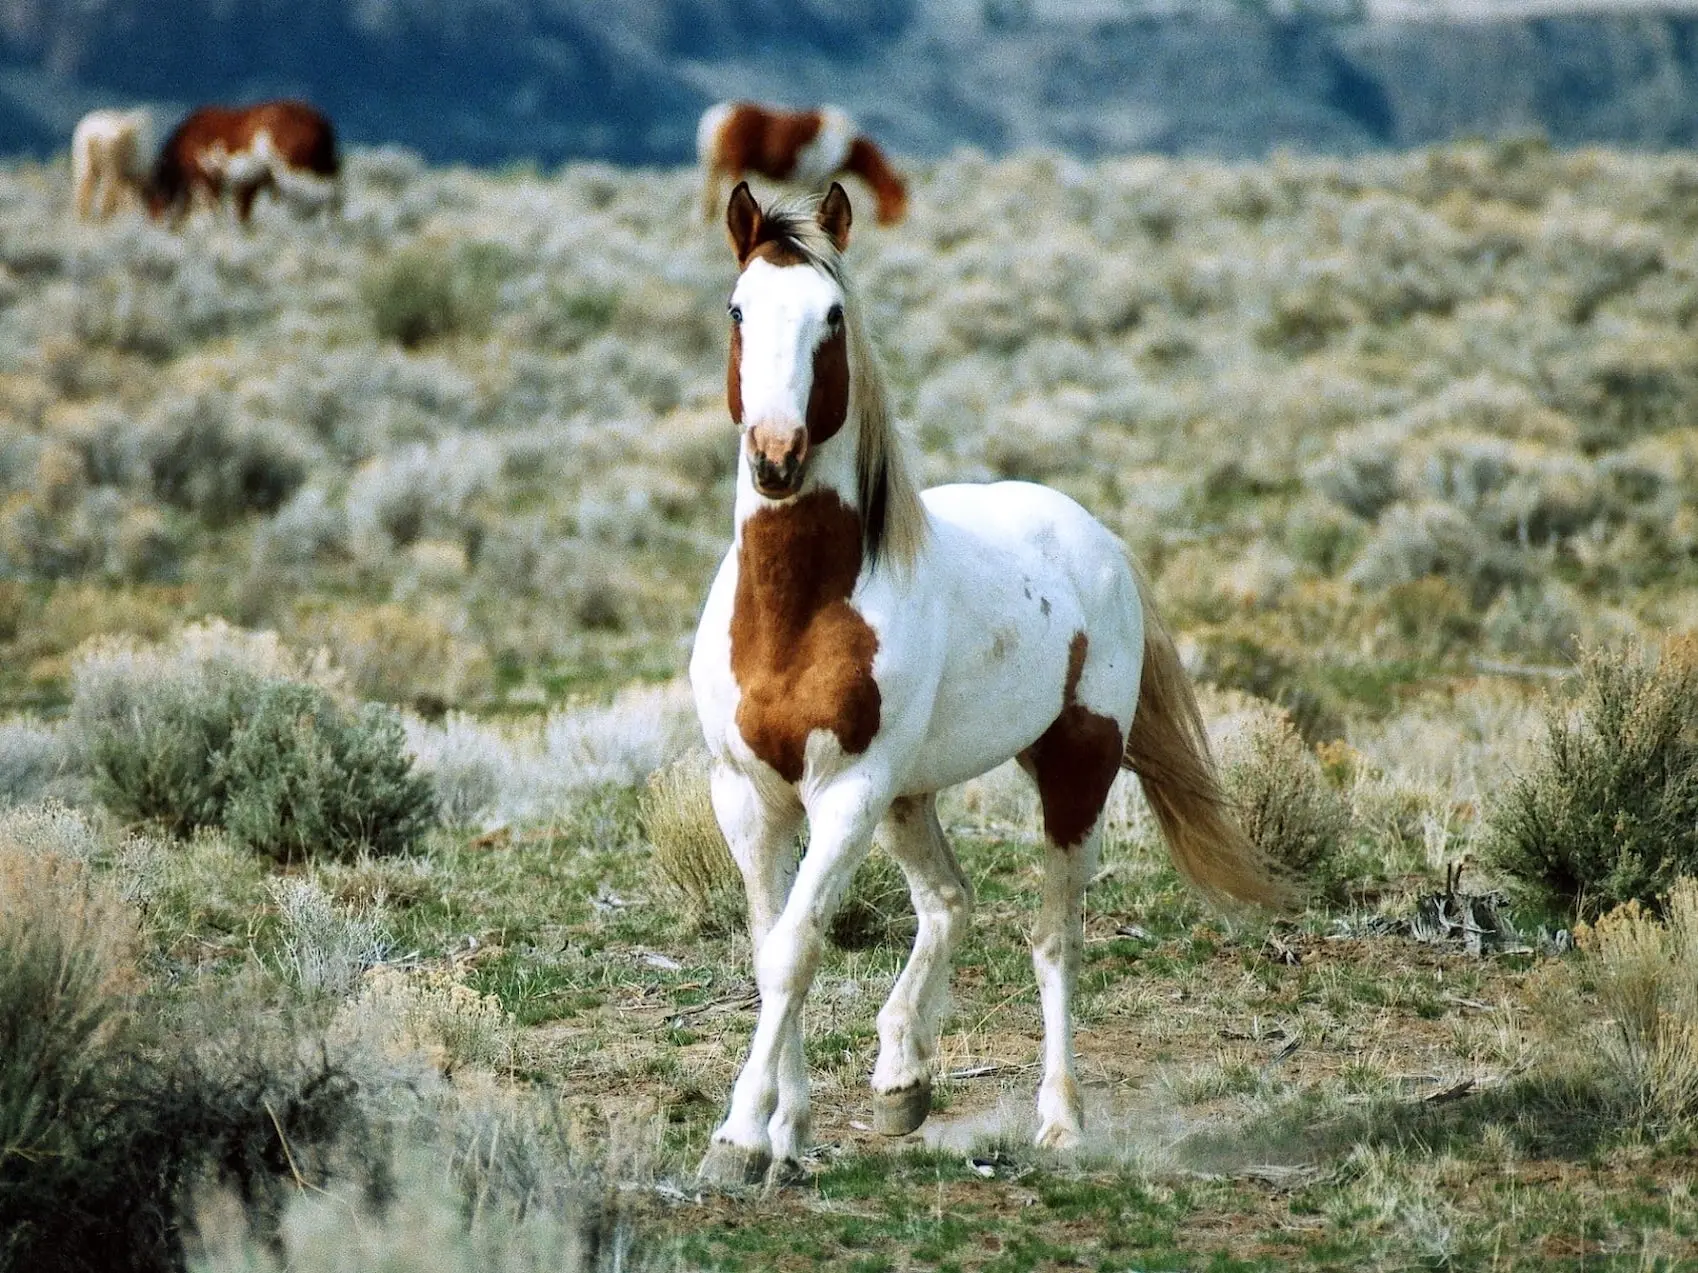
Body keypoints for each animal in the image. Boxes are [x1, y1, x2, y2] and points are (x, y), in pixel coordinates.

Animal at [149, 99, 341, 224]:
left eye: (153, 208)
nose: (154, 223)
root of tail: (320, 122)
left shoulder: (205, 179)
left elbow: (212, 210)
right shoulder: (246, 184)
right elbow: (241, 212)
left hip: (294, 172)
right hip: (323, 167)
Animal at [689, 184, 1283, 1194]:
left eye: (832, 315)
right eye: (738, 309)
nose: (776, 454)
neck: (799, 613)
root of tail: (1098, 539)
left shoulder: (846, 794)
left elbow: (797, 949)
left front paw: (737, 1136)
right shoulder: (751, 798)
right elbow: (775, 951)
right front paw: (785, 1132)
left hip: (1071, 772)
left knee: (1052, 938)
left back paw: (1059, 1120)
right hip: (910, 798)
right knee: (948, 902)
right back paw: (902, 1077)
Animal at [692, 102, 910, 229]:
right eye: (897, 200)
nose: (895, 222)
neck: (845, 144)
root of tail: (718, 117)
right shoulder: (819, 181)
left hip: (713, 166)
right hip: (736, 166)